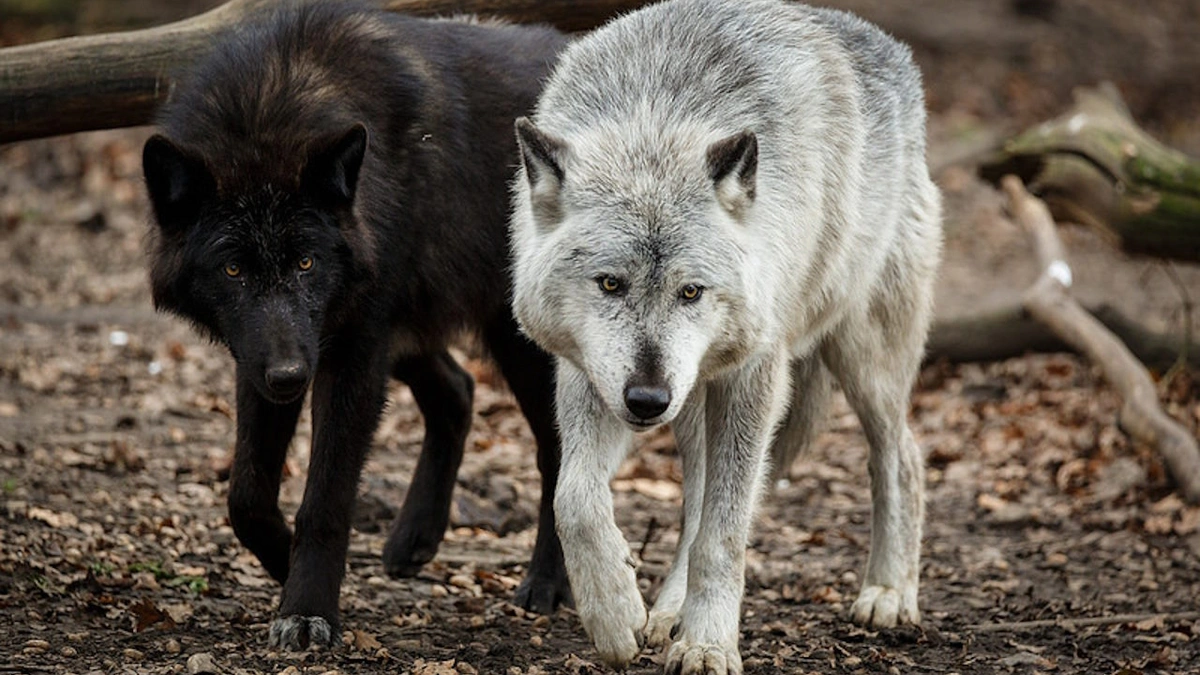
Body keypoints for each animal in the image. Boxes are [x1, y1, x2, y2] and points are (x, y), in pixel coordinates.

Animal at [140, 1, 571, 653]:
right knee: (457, 391)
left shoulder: (350, 358)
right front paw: (283, 564)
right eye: (233, 269)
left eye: (306, 262)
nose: (291, 376)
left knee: (557, 452)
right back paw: (414, 539)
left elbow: (324, 502)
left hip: (507, 341)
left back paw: (547, 583)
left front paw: (307, 608)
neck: (274, 107)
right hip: (405, 328)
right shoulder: (265, 354)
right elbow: (246, 496)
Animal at [506, 0, 936, 667]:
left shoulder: (753, 376)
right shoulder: (589, 375)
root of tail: (895, 52)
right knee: (694, 502)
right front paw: (615, 613)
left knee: (902, 458)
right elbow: (574, 498)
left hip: (862, 360)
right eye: (609, 284)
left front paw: (708, 646)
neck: (657, 119)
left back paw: (889, 593)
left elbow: (724, 535)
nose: (647, 400)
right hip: (693, 400)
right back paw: (667, 612)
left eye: (692, 292)